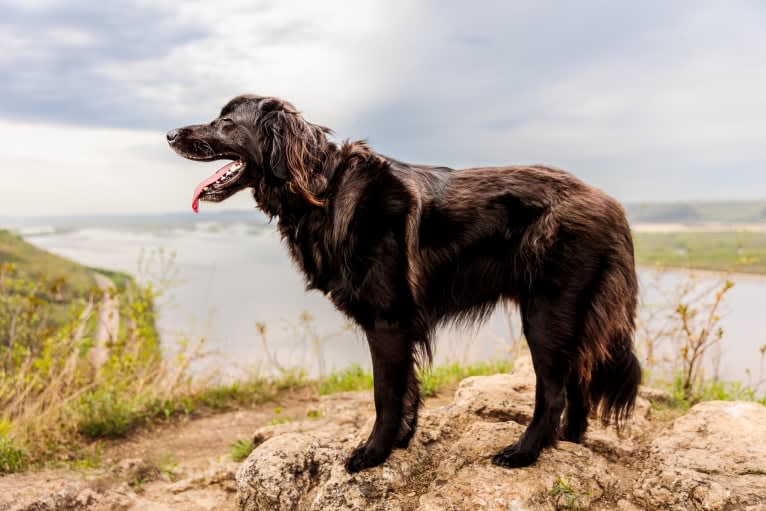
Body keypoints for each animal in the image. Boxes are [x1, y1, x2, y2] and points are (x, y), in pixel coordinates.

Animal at [168, 95, 640, 472]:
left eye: (227, 122)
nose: (170, 133)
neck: (324, 190)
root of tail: (613, 205)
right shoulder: (401, 326)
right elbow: (407, 391)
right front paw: (400, 441)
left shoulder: (387, 323)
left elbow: (385, 394)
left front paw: (373, 453)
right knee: (580, 380)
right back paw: (567, 442)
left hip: (545, 311)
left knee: (555, 391)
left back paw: (524, 452)